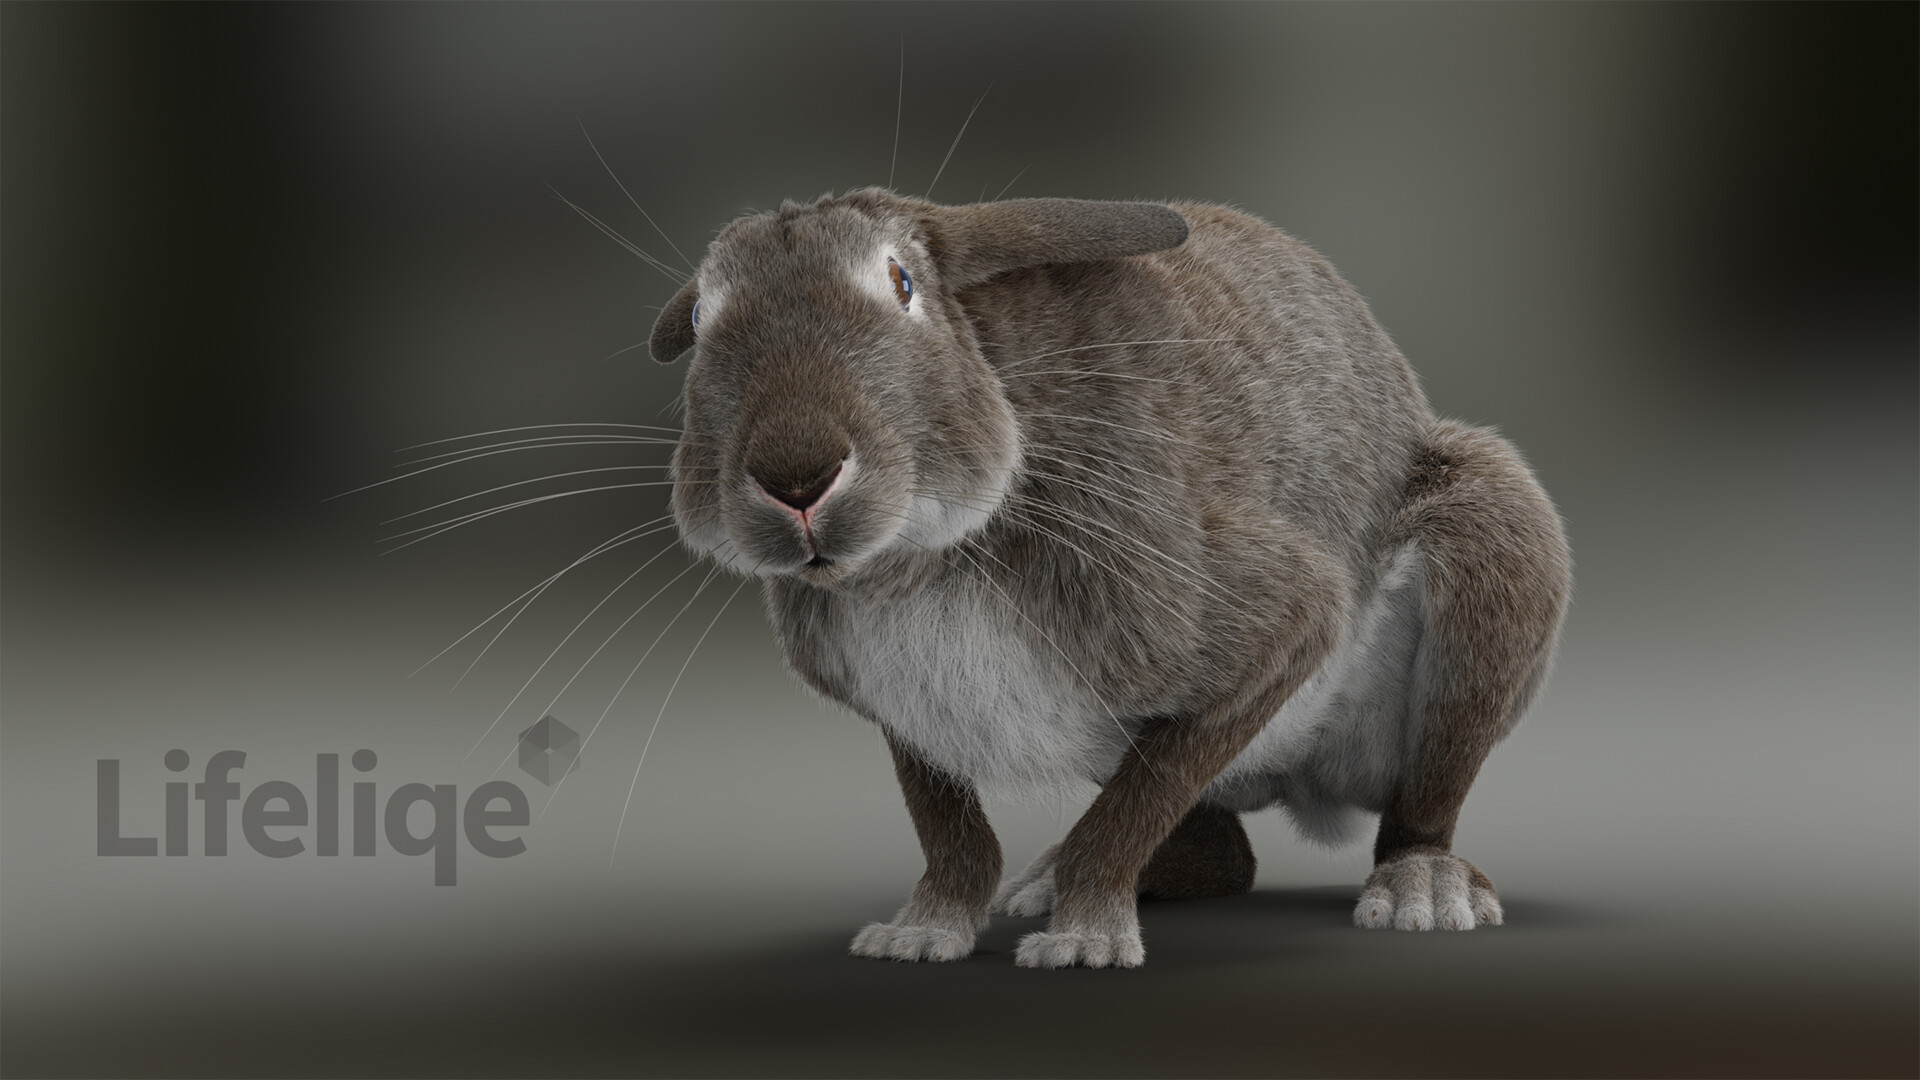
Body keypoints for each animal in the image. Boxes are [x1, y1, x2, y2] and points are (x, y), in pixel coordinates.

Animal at [647, 188, 1571, 969]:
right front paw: (920, 936)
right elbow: (951, 834)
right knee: (1220, 848)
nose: (797, 480)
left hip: (1493, 558)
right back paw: (1045, 880)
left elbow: (1130, 808)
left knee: (1424, 799)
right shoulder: (906, 712)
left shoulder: (1271, 625)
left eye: (902, 282)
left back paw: (1425, 889)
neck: (916, 559)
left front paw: (1084, 944)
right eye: (699, 314)